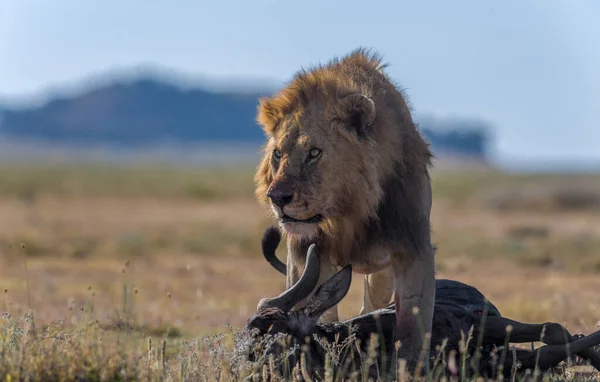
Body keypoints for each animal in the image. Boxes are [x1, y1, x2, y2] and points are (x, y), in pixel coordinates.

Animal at [254, 47, 436, 368]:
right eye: (277, 153)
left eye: (314, 153)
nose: (277, 197)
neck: (348, 212)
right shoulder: (305, 254)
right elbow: (317, 309)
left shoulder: (413, 249)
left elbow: (412, 333)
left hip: (381, 275)